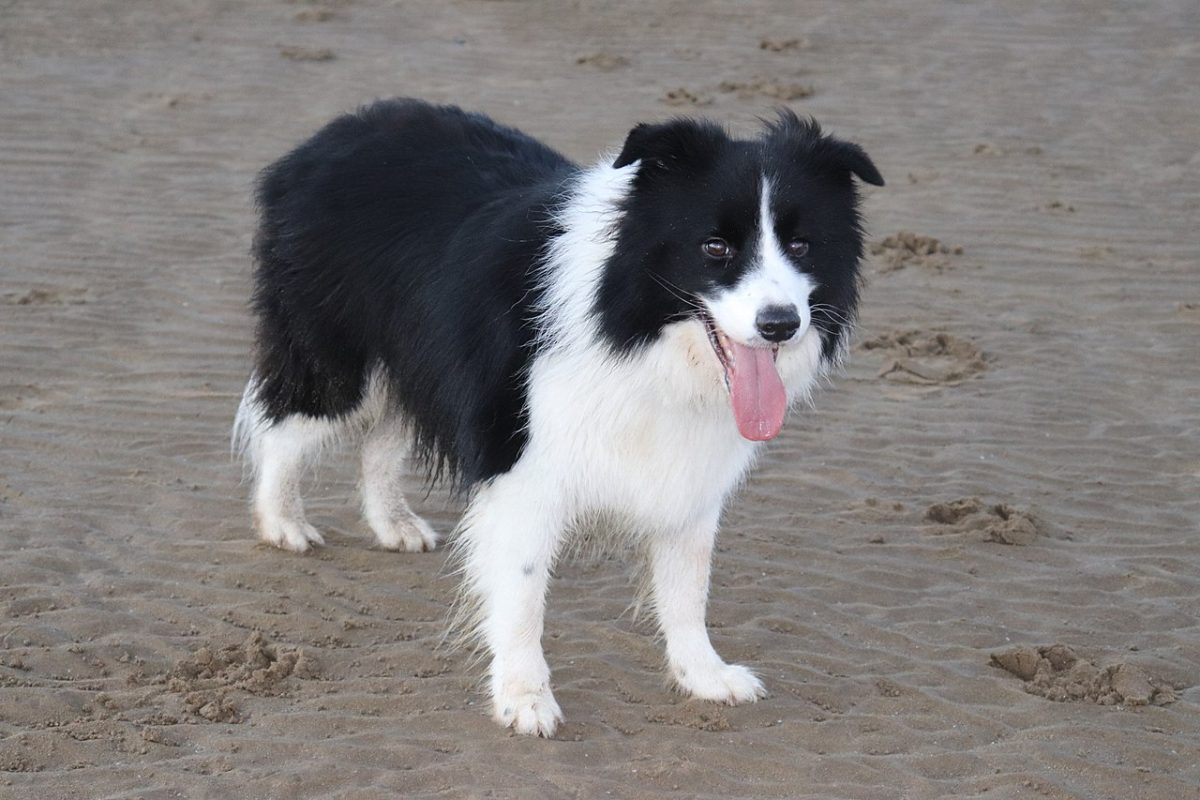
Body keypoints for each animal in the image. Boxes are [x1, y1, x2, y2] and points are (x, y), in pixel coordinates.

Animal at [236, 100, 883, 738]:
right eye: (715, 247)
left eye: (802, 246)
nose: (780, 324)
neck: (633, 330)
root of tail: (333, 133)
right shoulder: (521, 464)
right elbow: (523, 592)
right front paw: (523, 699)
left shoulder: (689, 471)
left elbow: (688, 584)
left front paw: (703, 675)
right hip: (338, 357)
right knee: (284, 425)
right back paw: (282, 523)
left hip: (423, 358)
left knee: (382, 437)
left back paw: (392, 523)